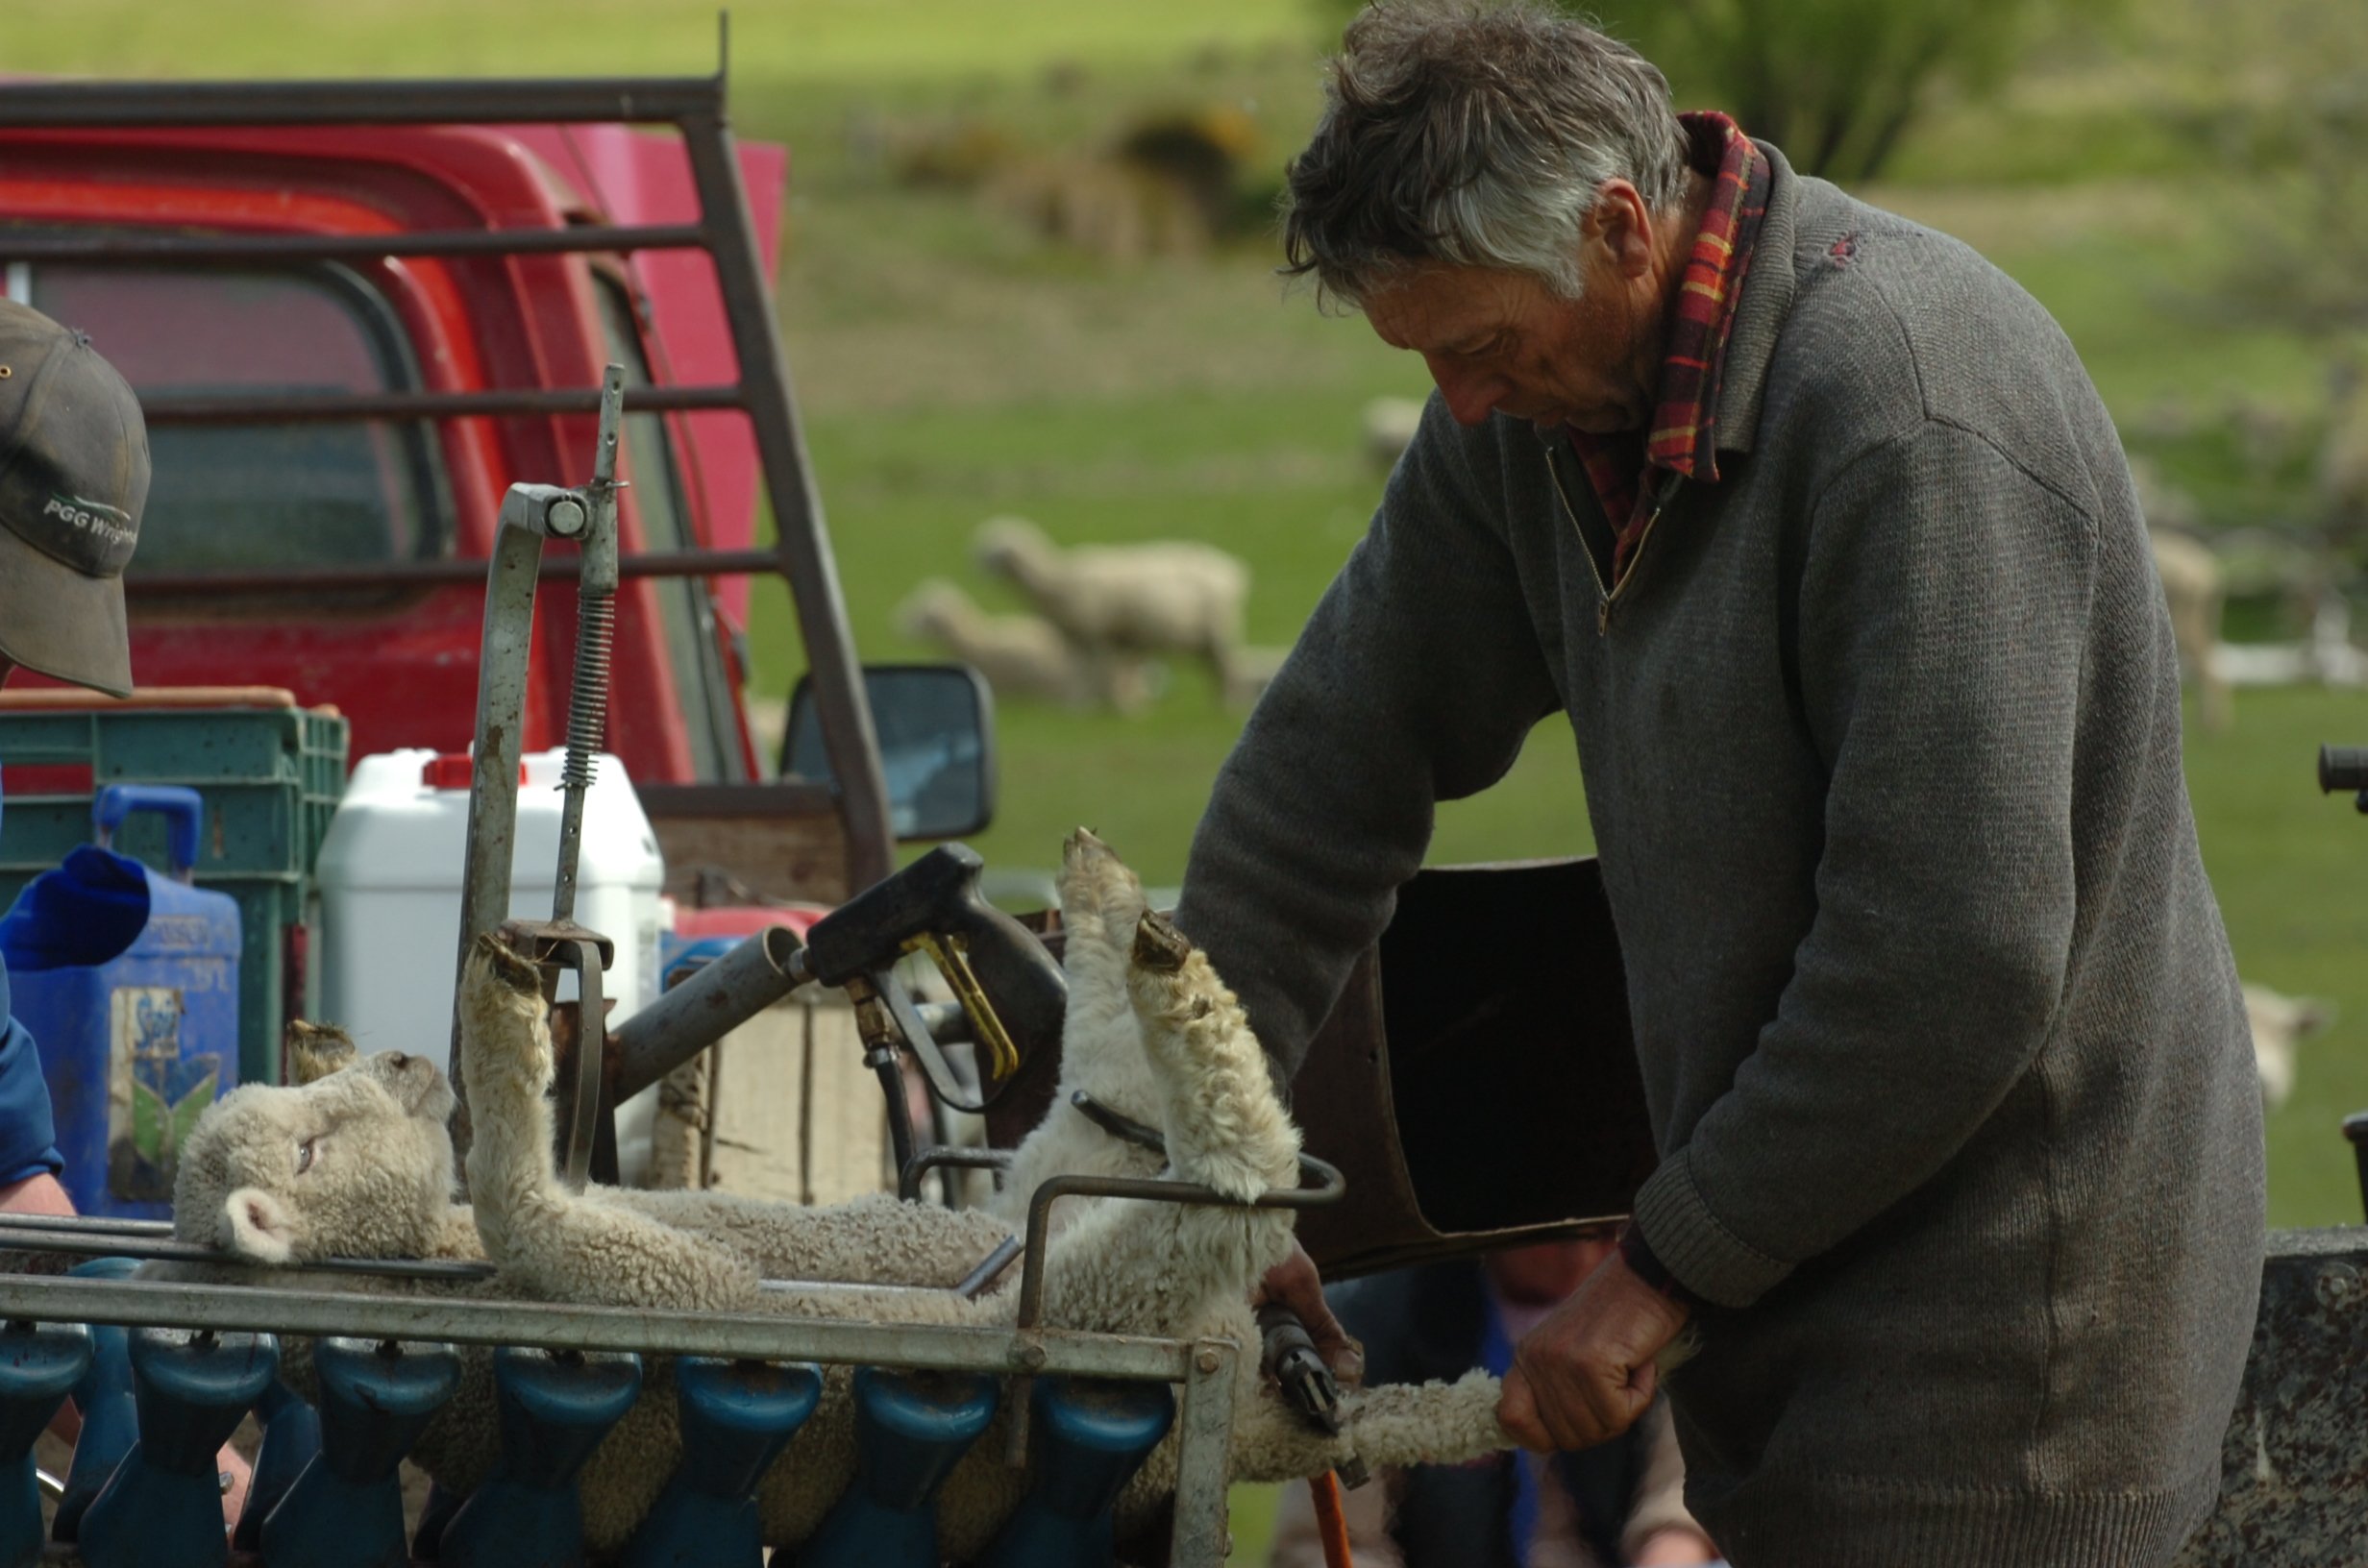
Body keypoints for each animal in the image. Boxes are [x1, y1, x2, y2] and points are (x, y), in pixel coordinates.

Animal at [157, 833, 1506, 1563]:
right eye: (308, 1154)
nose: (401, 1061)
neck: (426, 1262)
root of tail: (1269, 1421)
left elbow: (518, 1184)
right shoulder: (660, 1292)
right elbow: (515, 1189)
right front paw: (503, 1030)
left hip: (1033, 1213)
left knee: (1099, 1092)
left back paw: (1112, 904)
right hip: (1113, 1282)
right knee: (1243, 1167)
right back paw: (1171, 978)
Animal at [971, 516, 1269, 705]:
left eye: (996, 553)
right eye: (984, 549)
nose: (976, 567)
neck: (1059, 580)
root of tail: (1231, 570)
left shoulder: (1097, 633)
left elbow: (1100, 670)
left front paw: (1104, 705)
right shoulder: (1081, 638)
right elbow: (1089, 672)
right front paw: (1086, 704)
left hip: (1220, 627)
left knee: (1226, 667)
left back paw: (1228, 704)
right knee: (1216, 668)